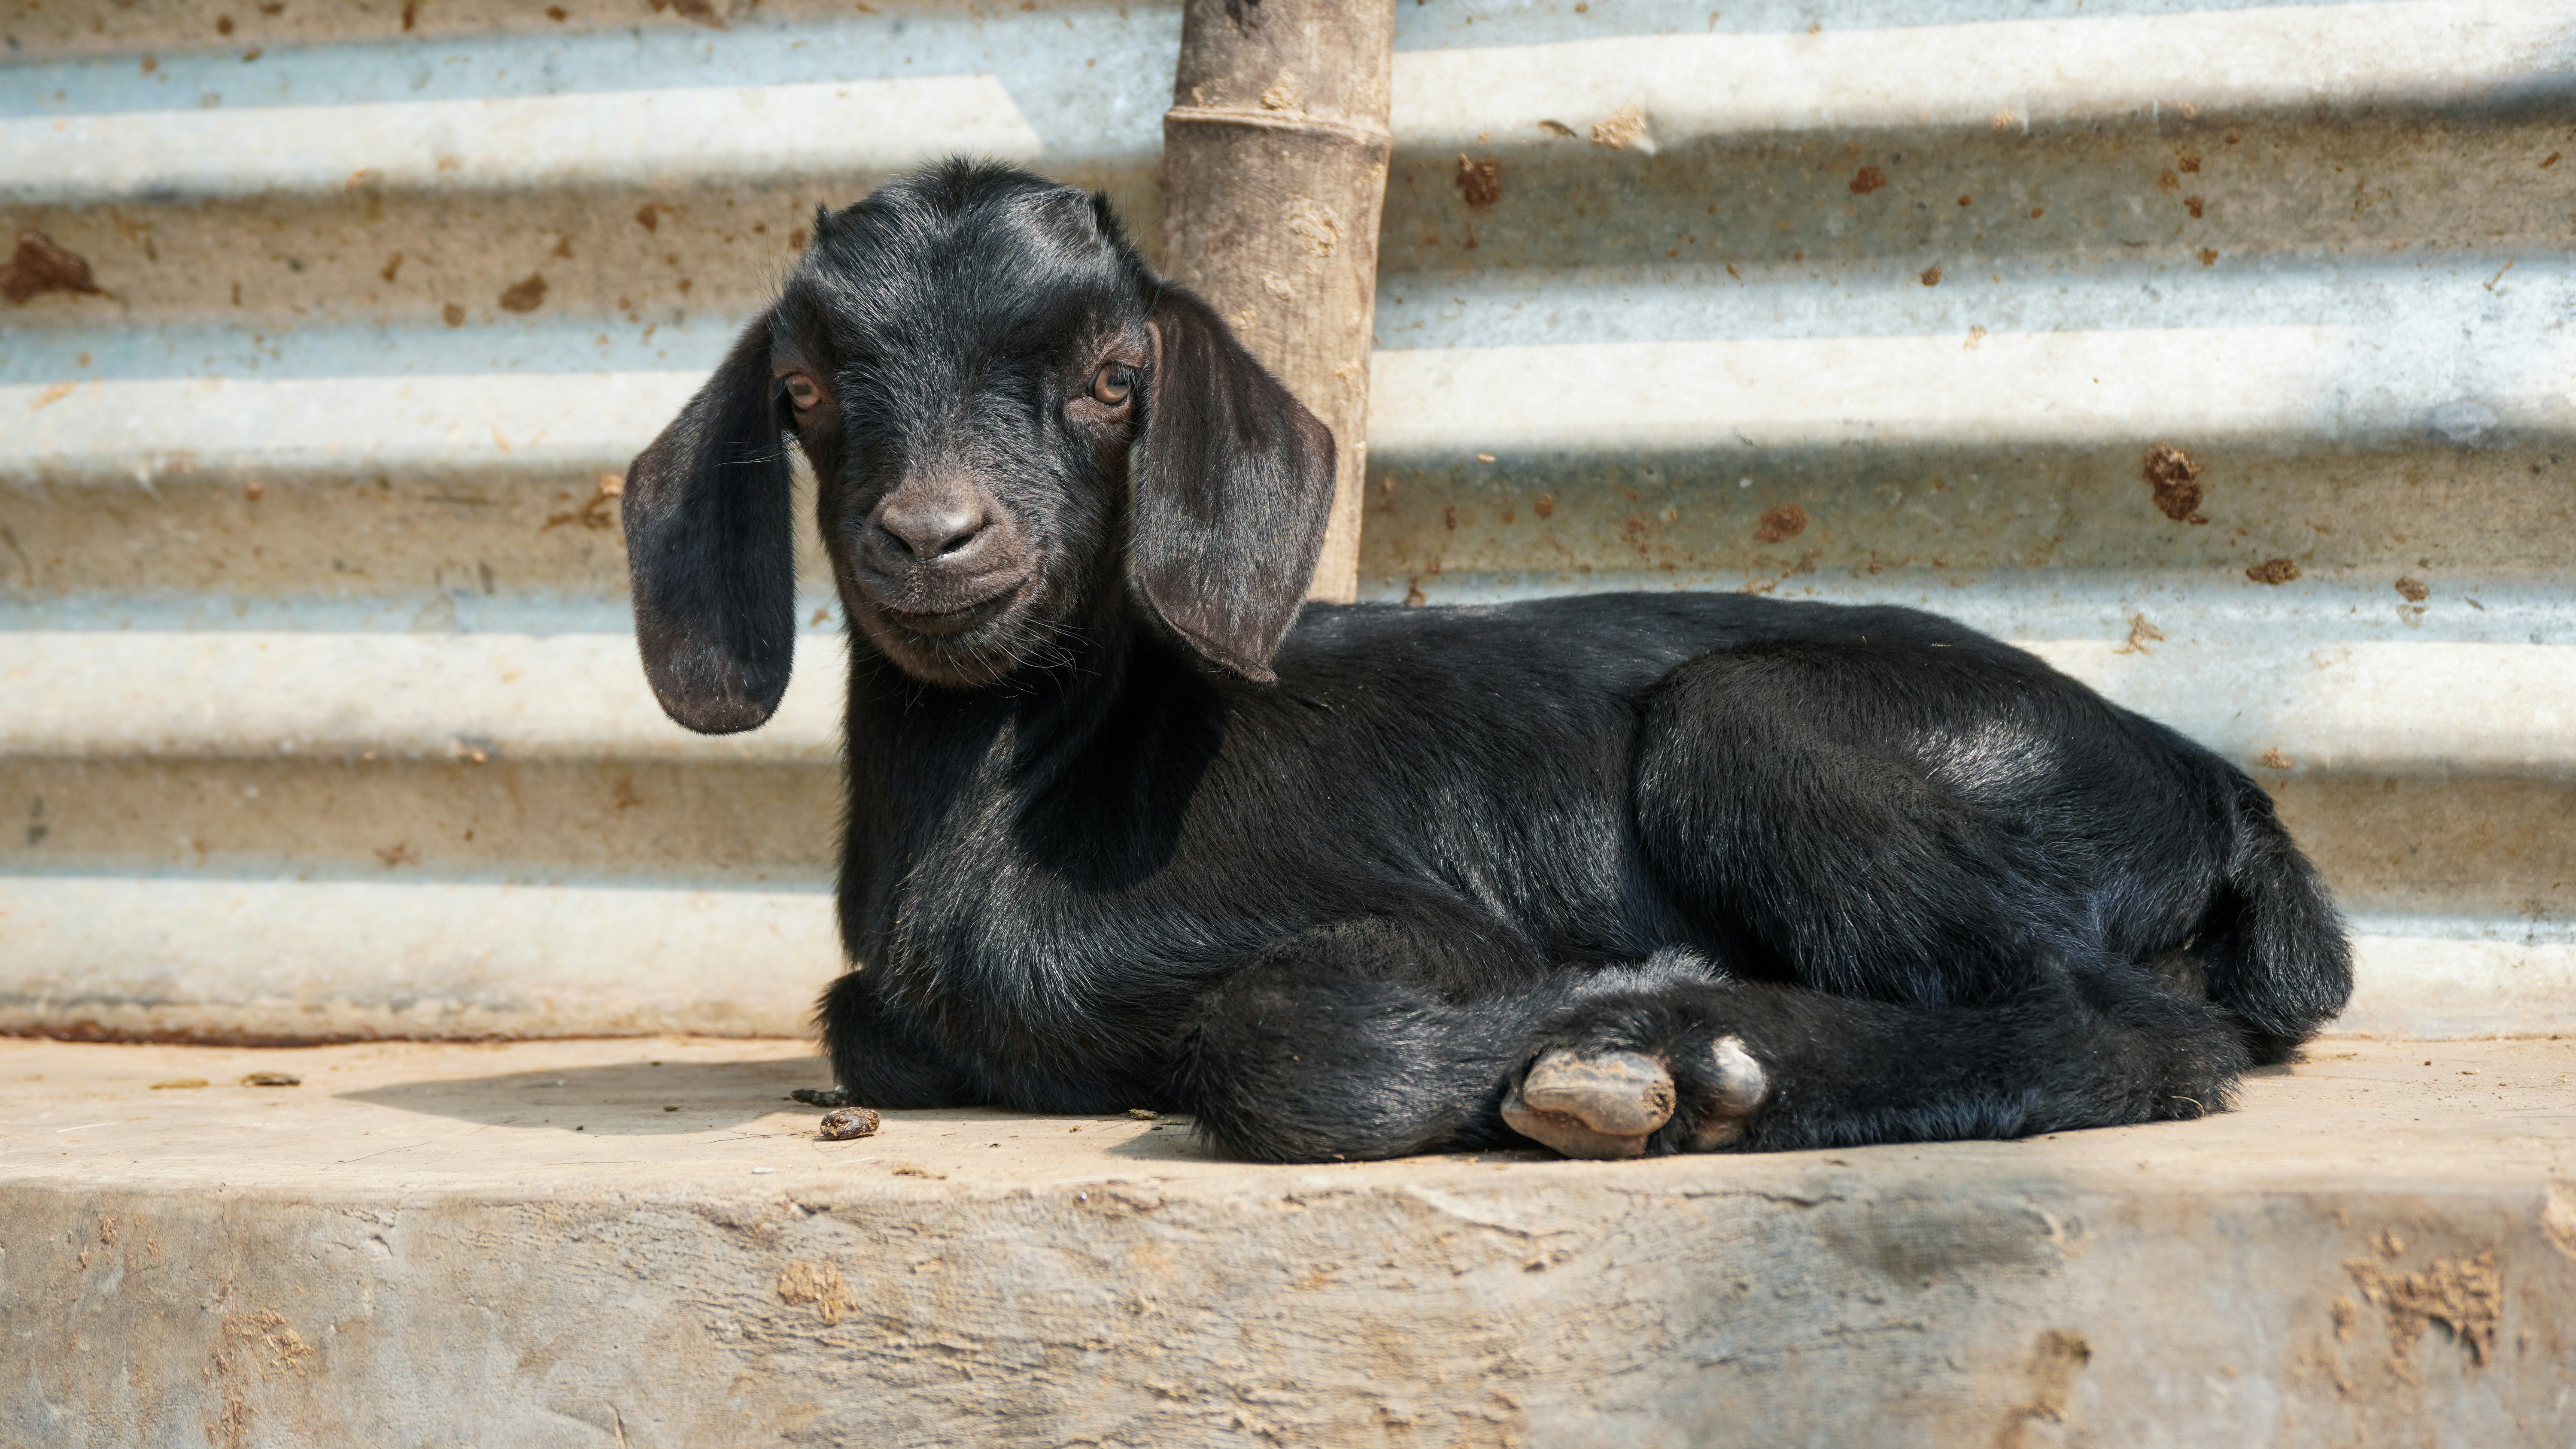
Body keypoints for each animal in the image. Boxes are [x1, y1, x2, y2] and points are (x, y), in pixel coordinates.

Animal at [622, 161, 2351, 1162]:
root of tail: (2210, 787)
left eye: (1115, 378)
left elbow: (1283, 1041)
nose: (932, 536)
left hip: (1757, 724)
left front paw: (1598, 1004)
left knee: (2116, 1023)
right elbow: (857, 1019)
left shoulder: (1398, 919)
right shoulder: (882, 1006)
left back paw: (1682, 1057)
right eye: (803, 391)